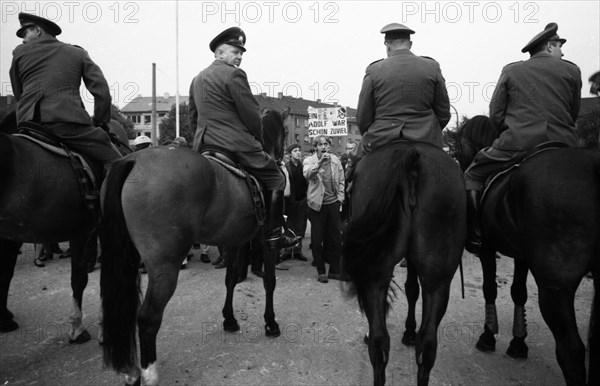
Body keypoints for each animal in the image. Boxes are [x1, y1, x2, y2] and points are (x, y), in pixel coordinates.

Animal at [101, 108, 288, 386]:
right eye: (285, 132)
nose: (283, 156)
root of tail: (132, 161)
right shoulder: (265, 240)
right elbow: (269, 281)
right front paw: (270, 323)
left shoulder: (234, 240)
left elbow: (231, 279)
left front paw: (229, 319)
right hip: (165, 265)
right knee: (147, 318)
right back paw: (149, 373)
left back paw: (130, 371)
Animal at [342, 139, 464, 386]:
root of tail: (412, 153)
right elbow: (412, 289)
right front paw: (409, 331)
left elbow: (409, 289)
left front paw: (408, 330)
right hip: (438, 276)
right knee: (427, 345)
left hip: (375, 272)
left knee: (379, 342)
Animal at [450, 116, 600, 384]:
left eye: (458, 150)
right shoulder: (522, 256)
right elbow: (518, 292)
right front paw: (518, 341)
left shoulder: (487, 249)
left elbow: (490, 288)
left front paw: (488, 335)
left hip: (555, 287)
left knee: (571, 350)